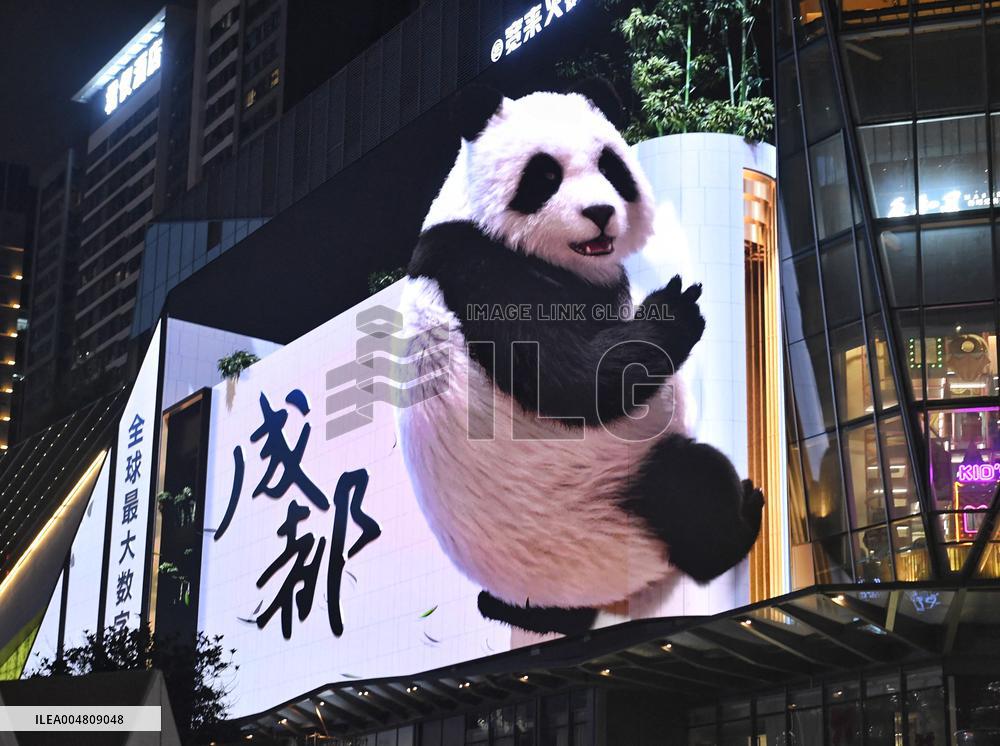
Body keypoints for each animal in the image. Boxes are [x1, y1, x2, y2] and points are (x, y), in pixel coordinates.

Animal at [397, 80, 764, 635]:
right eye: (545, 176)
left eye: (610, 166)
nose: (600, 213)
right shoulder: (480, 267)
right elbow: (573, 382)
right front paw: (675, 308)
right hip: (609, 500)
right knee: (690, 490)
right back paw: (742, 516)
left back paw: (508, 609)